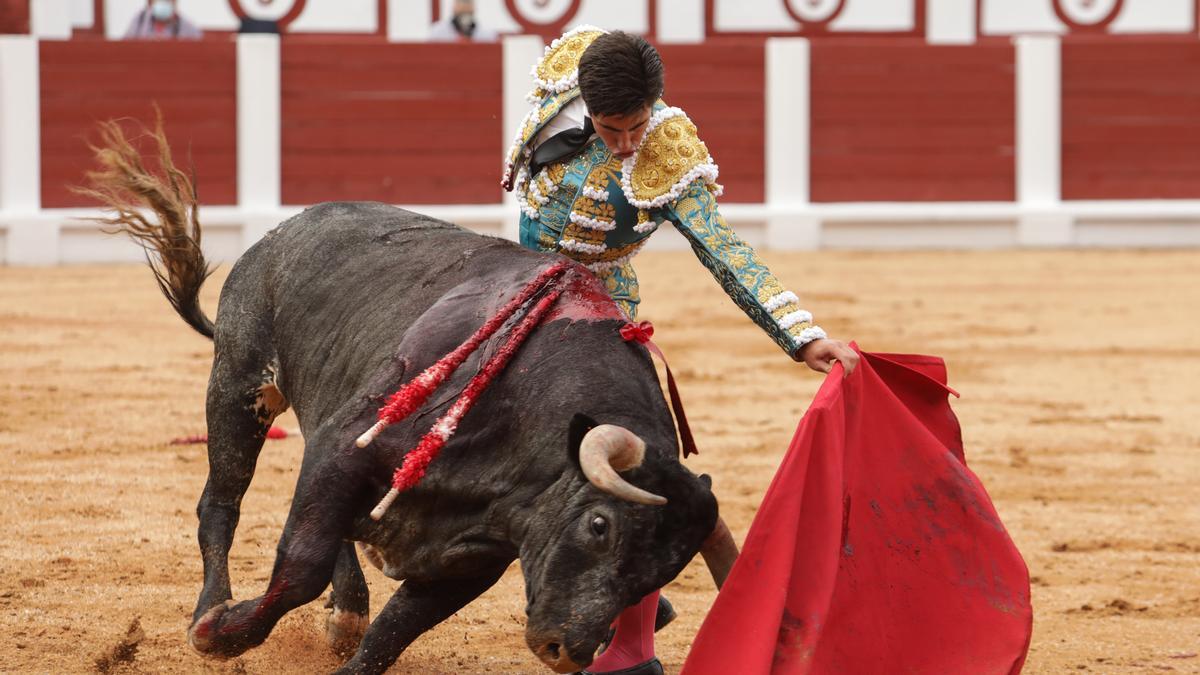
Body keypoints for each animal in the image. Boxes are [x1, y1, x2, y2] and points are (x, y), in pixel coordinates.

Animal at [87, 118, 729, 667]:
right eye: (599, 525)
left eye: (660, 573)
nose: (567, 650)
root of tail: (283, 232)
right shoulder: (348, 446)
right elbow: (300, 568)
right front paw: (223, 634)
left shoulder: (473, 556)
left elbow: (396, 628)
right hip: (237, 386)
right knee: (220, 503)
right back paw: (212, 610)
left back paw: (345, 615)